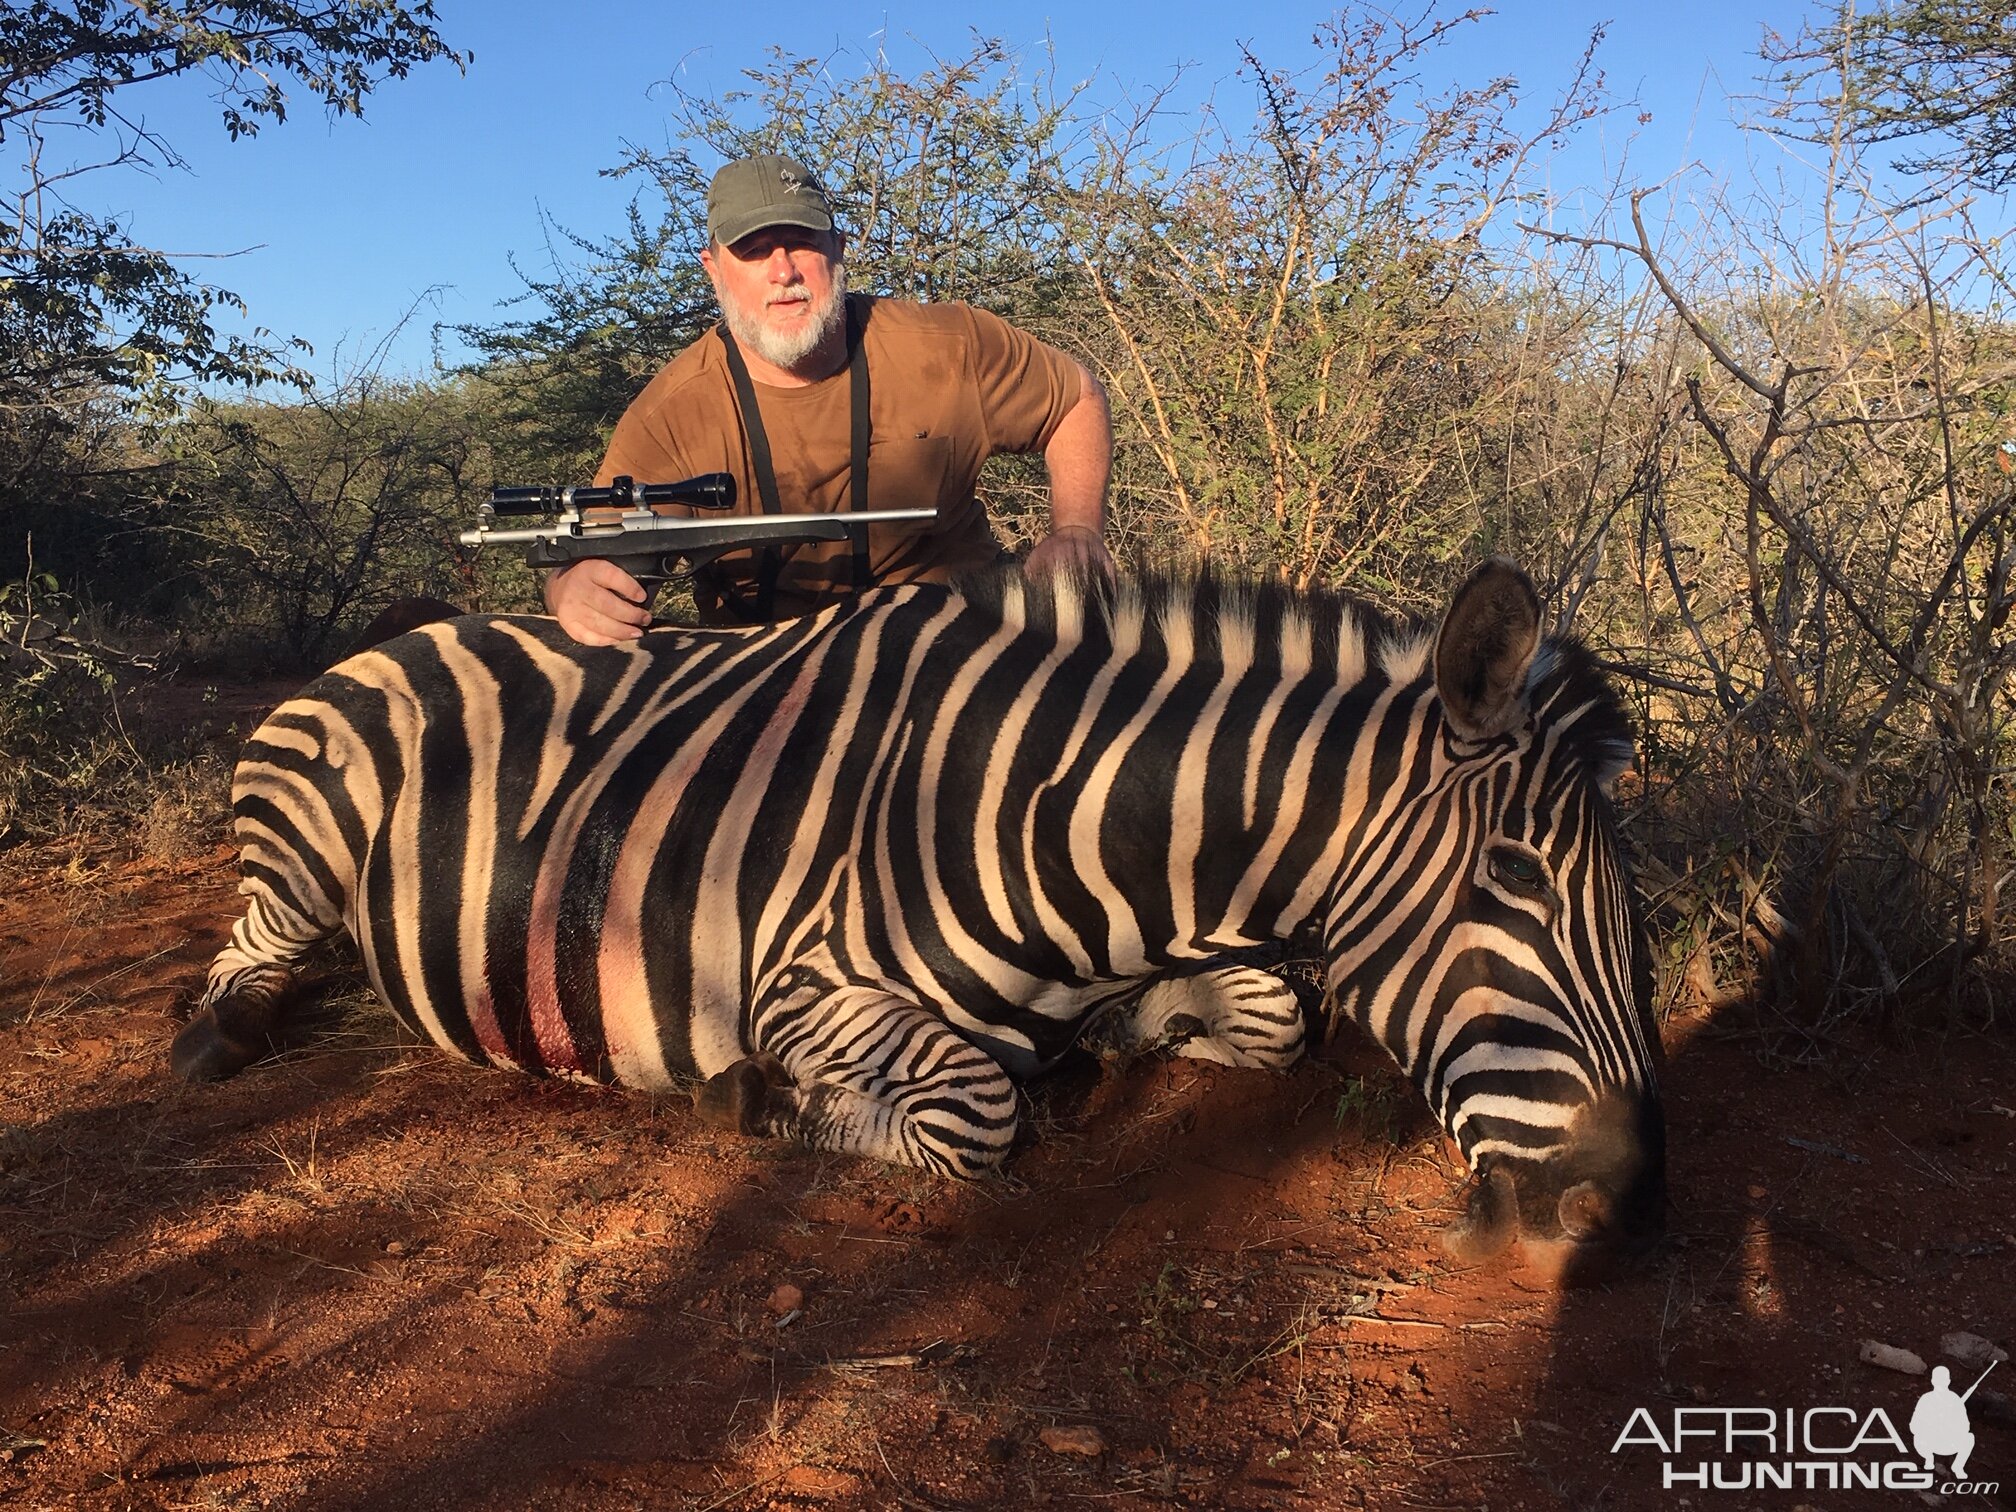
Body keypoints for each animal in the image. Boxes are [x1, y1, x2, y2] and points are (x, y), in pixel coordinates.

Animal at [173, 564, 1661, 1257]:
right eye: (1515, 881)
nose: (1621, 1200)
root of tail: (409, 629)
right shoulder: (798, 988)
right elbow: (978, 1111)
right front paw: (759, 1103)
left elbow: (1272, 1010)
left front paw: (1127, 1035)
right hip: (303, 834)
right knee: (249, 949)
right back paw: (219, 1035)